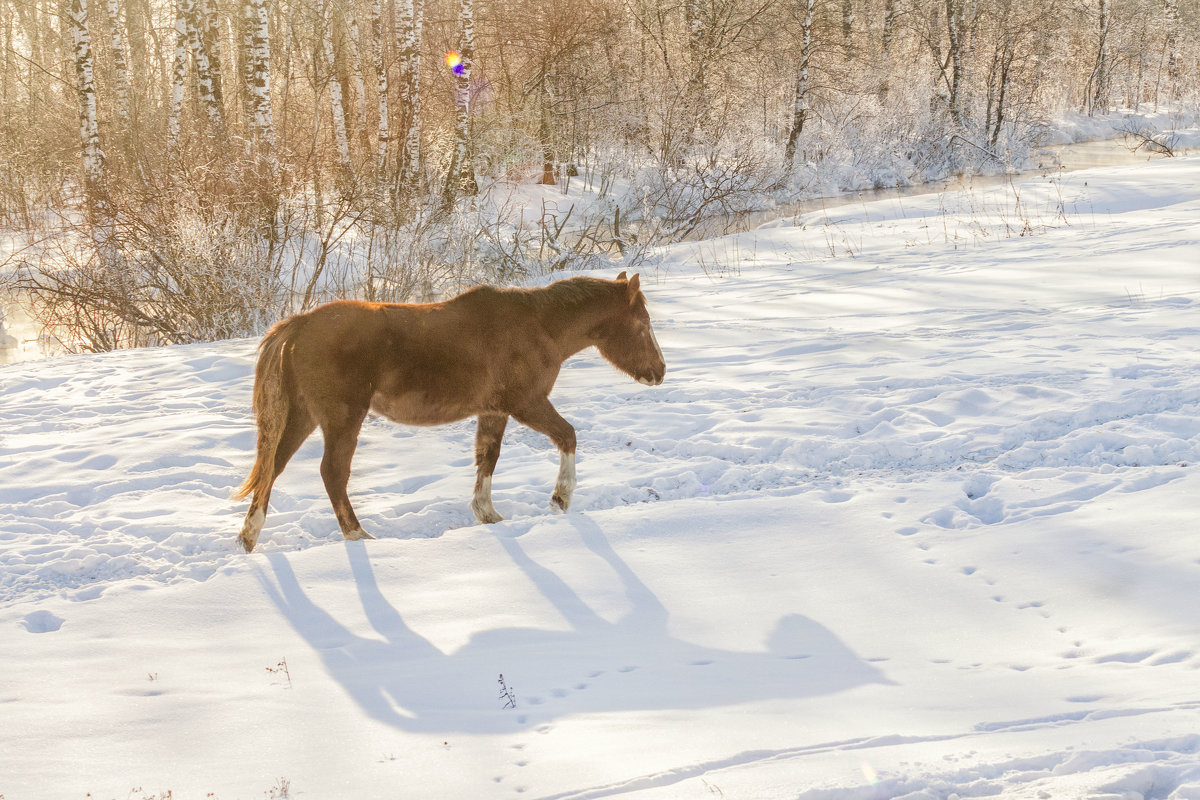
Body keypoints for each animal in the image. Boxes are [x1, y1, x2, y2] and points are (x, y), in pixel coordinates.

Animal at [234, 272, 667, 554]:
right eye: (643, 324)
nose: (660, 371)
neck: (538, 327)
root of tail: (299, 325)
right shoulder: (526, 403)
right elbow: (568, 435)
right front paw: (560, 498)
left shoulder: (494, 411)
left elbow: (487, 458)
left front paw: (487, 513)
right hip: (342, 418)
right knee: (332, 474)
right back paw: (358, 536)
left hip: (303, 417)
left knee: (273, 468)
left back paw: (249, 537)